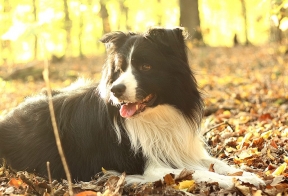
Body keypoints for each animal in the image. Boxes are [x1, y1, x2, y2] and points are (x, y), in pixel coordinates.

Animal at [0, 27, 264, 188]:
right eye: (119, 68)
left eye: (146, 66)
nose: (115, 90)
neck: (156, 114)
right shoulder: (147, 167)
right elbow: (196, 172)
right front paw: (230, 182)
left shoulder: (179, 148)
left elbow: (217, 163)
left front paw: (248, 175)